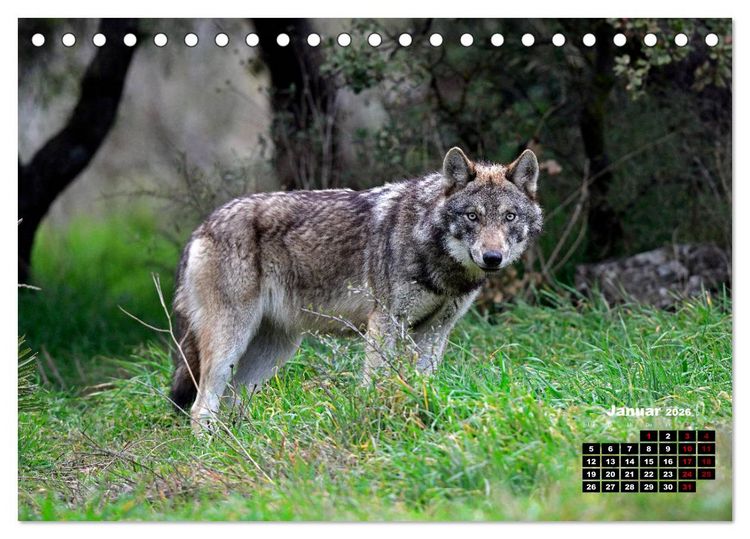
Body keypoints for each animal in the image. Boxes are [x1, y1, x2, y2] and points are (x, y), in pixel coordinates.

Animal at [170, 147, 543, 432]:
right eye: (472, 216)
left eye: (509, 217)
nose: (492, 258)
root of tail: (201, 228)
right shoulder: (386, 322)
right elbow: (376, 382)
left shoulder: (436, 331)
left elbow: (424, 384)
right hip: (232, 342)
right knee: (201, 406)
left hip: (273, 351)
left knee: (231, 400)